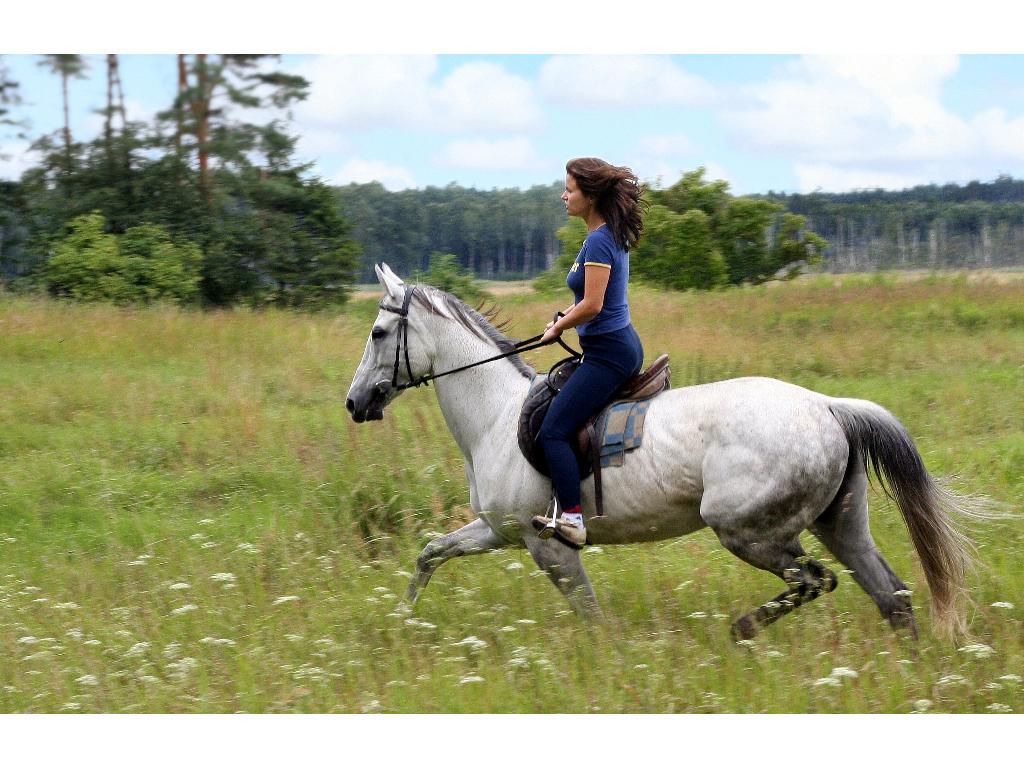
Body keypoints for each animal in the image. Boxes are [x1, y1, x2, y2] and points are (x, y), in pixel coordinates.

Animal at [348, 268, 987, 638]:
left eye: (378, 333)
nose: (355, 403)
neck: (497, 418)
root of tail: (828, 407)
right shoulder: (495, 530)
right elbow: (431, 553)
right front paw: (403, 620)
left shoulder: (545, 544)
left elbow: (590, 617)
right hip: (840, 522)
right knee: (891, 594)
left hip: (747, 529)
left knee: (814, 580)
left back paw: (744, 627)